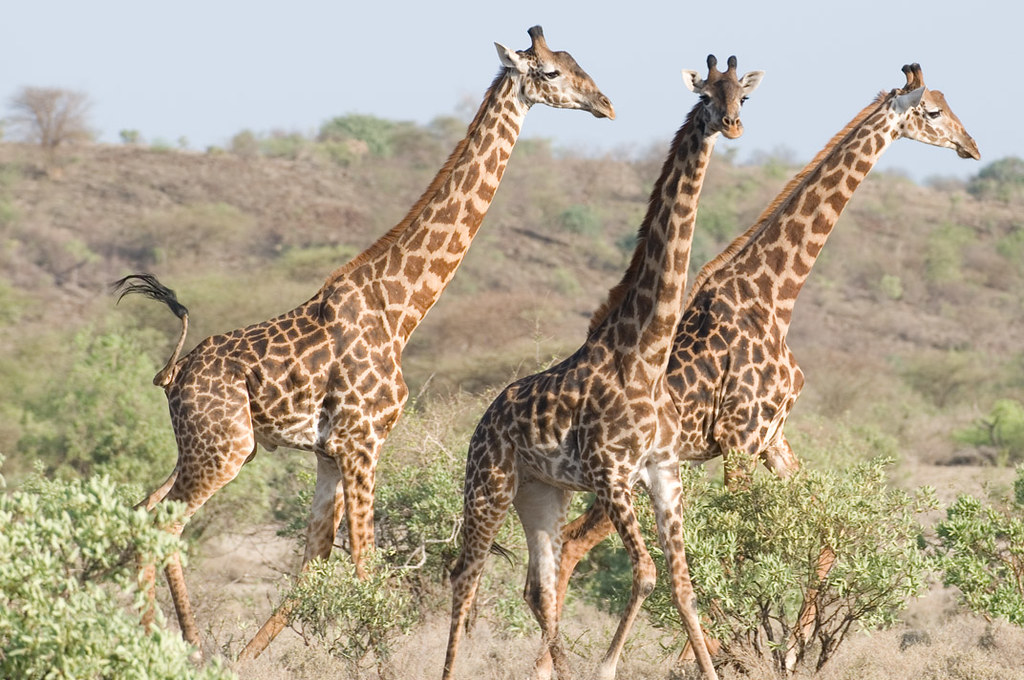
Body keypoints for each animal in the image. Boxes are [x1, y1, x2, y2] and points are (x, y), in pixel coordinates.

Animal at [112, 25, 613, 656]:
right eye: (550, 72)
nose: (606, 104)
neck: (401, 309)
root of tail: (171, 374)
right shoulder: (362, 441)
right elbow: (364, 564)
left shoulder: (329, 453)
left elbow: (313, 563)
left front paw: (247, 658)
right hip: (223, 448)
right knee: (164, 524)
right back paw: (169, 644)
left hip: (209, 447)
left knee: (144, 510)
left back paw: (174, 642)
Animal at [442, 55, 763, 680]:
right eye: (707, 95)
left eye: (745, 95)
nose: (733, 125)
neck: (645, 353)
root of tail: (484, 420)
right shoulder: (613, 475)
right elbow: (646, 574)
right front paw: (607, 667)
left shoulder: (663, 471)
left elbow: (682, 584)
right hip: (488, 484)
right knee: (466, 575)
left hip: (541, 493)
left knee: (537, 585)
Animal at [552, 63, 979, 671]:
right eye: (935, 110)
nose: (972, 146)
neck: (777, 293)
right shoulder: (739, 438)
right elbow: (740, 549)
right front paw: (732, 655)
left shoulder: (772, 436)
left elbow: (823, 527)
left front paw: (793, 649)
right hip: (622, 471)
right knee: (575, 542)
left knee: (570, 541)